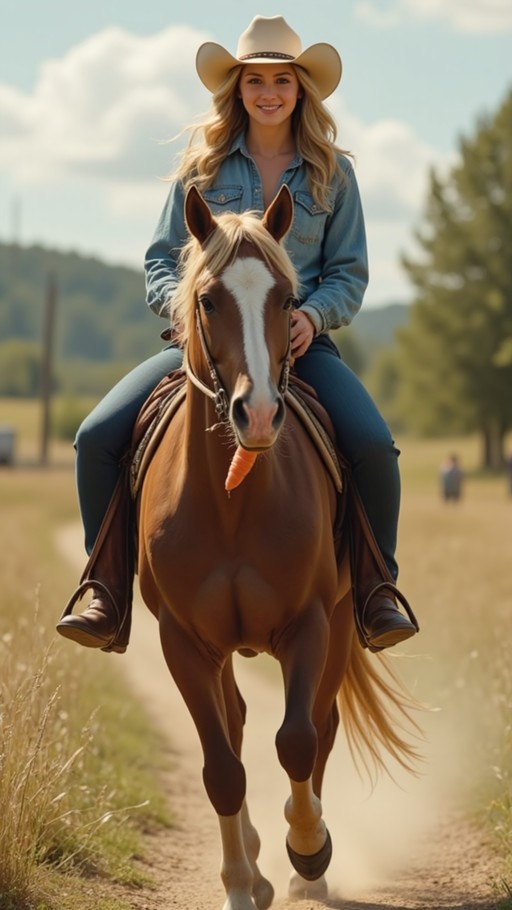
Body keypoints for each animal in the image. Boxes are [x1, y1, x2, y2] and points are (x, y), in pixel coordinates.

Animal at [136, 184, 419, 910]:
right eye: (208, 299)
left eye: (288, 301)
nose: (259, 414)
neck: (234, 504)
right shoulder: (183, 641)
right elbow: (222, 768)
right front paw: (241, 884)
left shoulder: (309, 624)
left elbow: (297, 740)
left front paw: (310, 849)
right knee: (236, 727)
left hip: (345, 625)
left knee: (322, 728)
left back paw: (303, 867)